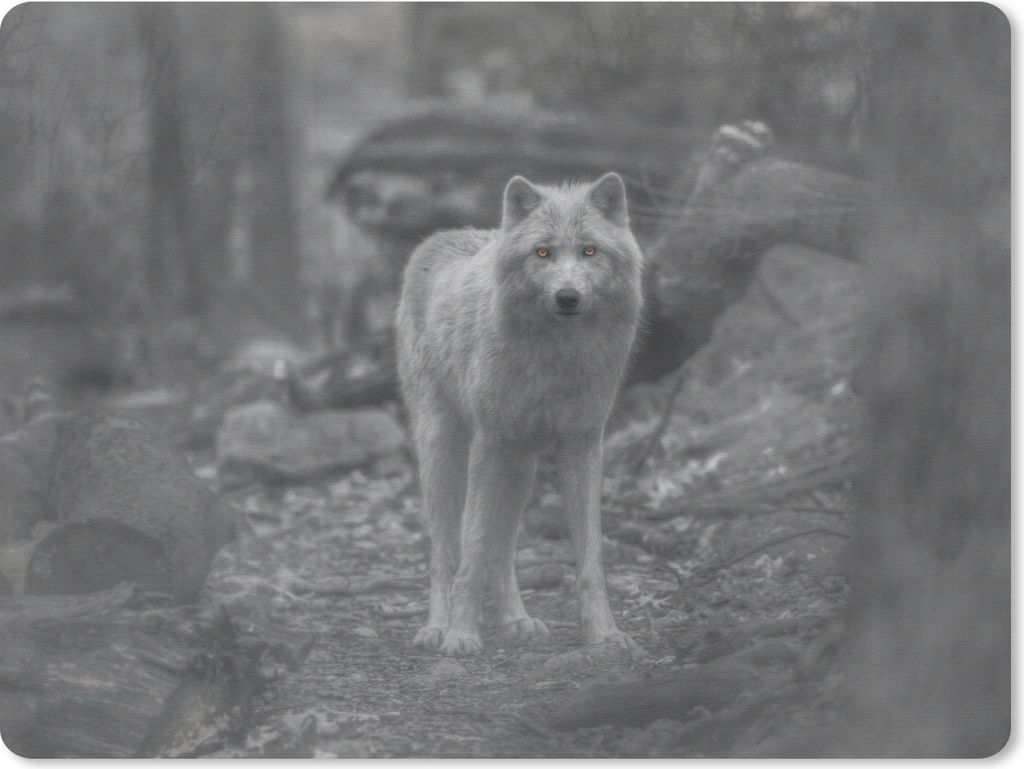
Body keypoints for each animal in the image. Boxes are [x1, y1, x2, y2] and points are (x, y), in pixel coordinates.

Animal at [396, 172, 644, 655]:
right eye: (542, 252)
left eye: (589, 251)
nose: (567, 296)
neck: (556, 358)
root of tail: (438, 237)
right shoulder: (489, 445)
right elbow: (470, 553)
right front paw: (460, 634)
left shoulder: (583, 446)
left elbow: (590, 559)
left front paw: (605, 635)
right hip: (444, 450)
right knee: (445, 552)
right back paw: (436, 628)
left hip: (521, 466)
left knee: (502, 549)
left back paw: (517, 620)